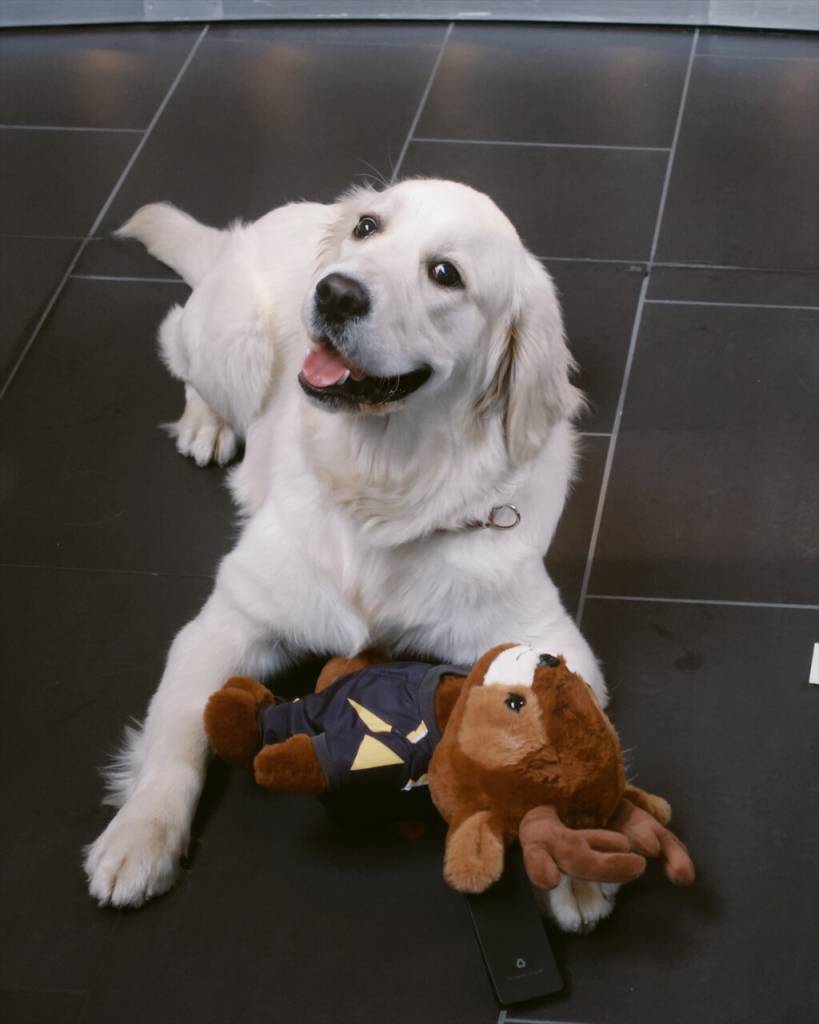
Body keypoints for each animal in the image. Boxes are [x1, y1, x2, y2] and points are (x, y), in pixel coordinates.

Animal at [83, 178, 611, 932]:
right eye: (367, 228)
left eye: (444, 273)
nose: (334, 292)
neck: (382, 494)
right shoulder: (225, 623)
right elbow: (176, 734)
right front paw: (139, 836)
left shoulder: (545, 635)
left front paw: (573, 864)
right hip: (230, 344)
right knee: (180, 350)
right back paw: (204, 423)